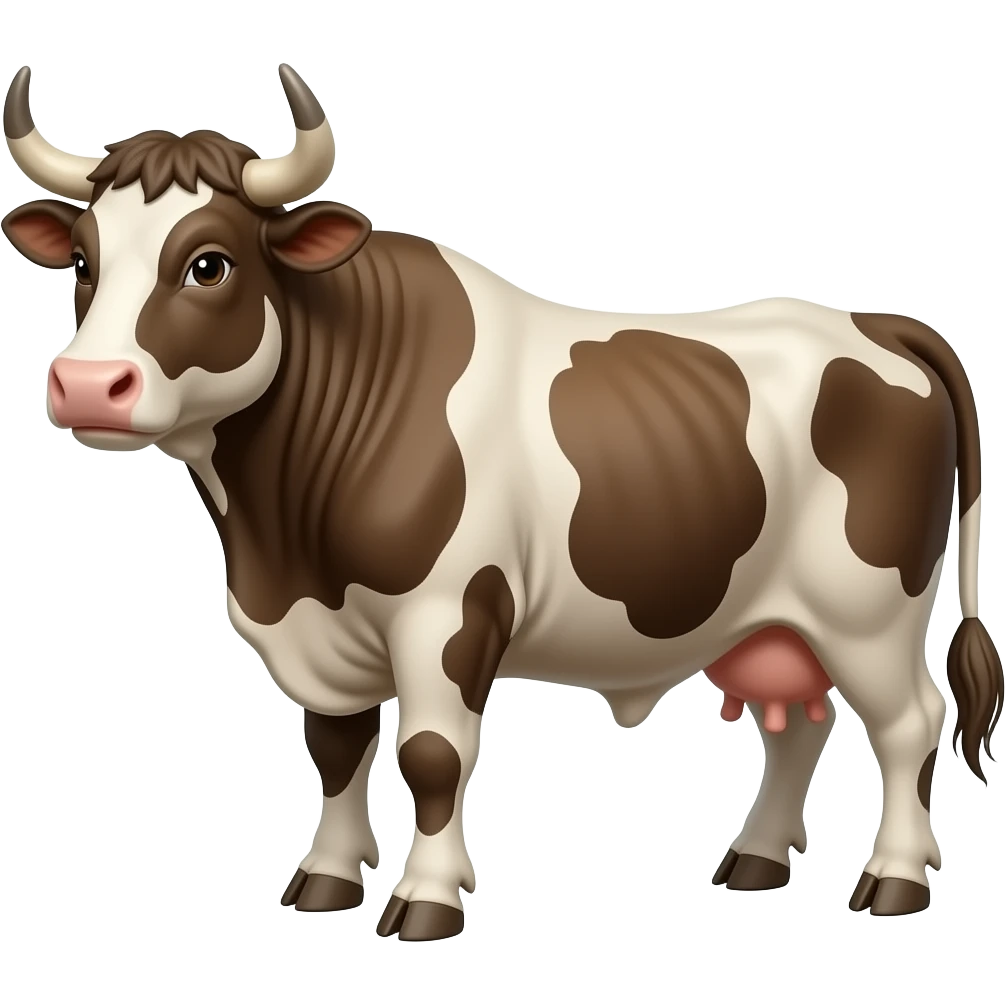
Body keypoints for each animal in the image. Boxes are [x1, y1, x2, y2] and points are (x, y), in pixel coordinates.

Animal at [5, 61, 1002, 938]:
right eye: (84, 261)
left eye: (209, 263)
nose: (88, 386)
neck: (277, 541)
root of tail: (873, 321)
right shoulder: (319, 631)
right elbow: (335, 749)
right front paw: (326, 881)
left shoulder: (447, 613)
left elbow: (431, 756)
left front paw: (427, 902)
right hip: (772, 617)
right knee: (800, 725)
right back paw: (753, 862)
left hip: (868, 610)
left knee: (909, 726)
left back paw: (894, 882)